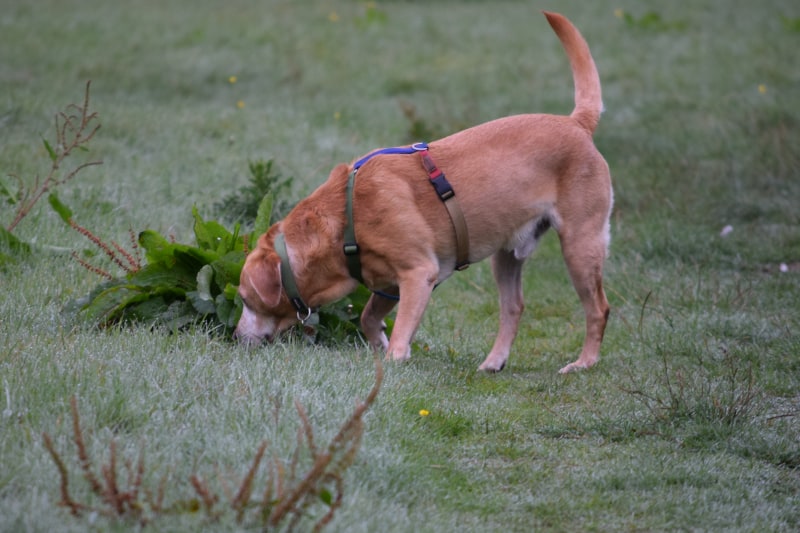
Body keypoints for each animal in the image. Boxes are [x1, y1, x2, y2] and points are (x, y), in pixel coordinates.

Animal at [234, 10, 608, 372]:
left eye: (244, 298)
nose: (236, 338)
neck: (344, 220)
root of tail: (576, 123)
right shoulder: (387, 284)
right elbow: (368, 319)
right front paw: (381, 344)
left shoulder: (418, 274)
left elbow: (400, 331)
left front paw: (394, 360)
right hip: (506, 255)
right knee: (514, 307)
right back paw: (494, 362)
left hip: (579, 246)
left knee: (598, 309)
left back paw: (584, 363)